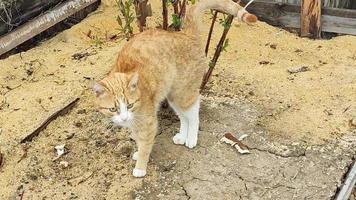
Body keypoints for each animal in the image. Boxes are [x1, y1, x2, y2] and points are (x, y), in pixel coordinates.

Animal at [93, 0, 258, 177]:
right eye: (112, 109)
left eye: (129, 105)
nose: (123, 118)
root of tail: (186, 33)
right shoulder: (135, 122)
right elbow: (137, 139)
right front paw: (137, 151)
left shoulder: (148, 123)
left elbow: (145, 144)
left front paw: (140, 167)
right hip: (173, 96)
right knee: (184, 117)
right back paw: (182, 137)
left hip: (183, 94)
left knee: (193, 115)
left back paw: (191, 139)